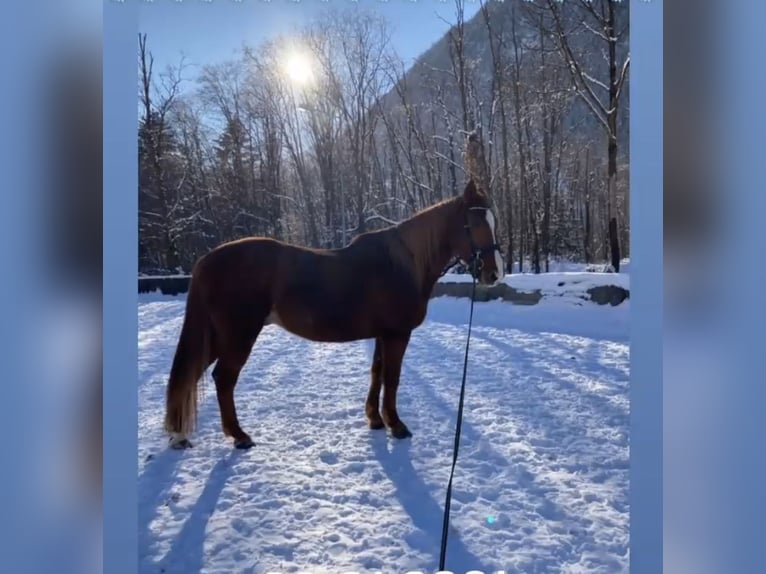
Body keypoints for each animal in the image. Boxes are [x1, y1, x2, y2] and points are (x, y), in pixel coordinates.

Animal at [163, 179, 508, 450]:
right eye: (476, 223)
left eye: (494, 221)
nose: (494, 273)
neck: (403, 263)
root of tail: (207, 260)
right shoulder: (397, 334)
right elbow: (393, 378)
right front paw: (396, 425)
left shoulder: (381, 334)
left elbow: (376, 373)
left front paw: (375, 420)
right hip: (237, 336)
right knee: (223, 378)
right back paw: (239, 436)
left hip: (216, 337)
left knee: (192, 374)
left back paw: (180, 435)